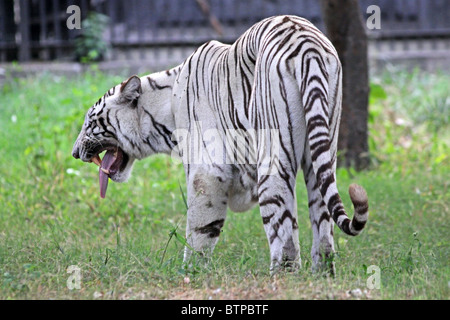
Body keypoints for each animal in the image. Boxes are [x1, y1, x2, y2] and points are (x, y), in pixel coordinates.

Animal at [73, 15, 370, 276]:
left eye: (89, 122)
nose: (75, 153)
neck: (165, 108)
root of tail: (307, 43)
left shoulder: (206, 171)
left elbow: (200, 230)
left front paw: (188, 272)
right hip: (322, 152)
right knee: (322, 218)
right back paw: (323, 274)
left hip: (274, 155)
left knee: (283, 228)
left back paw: (282, 277)